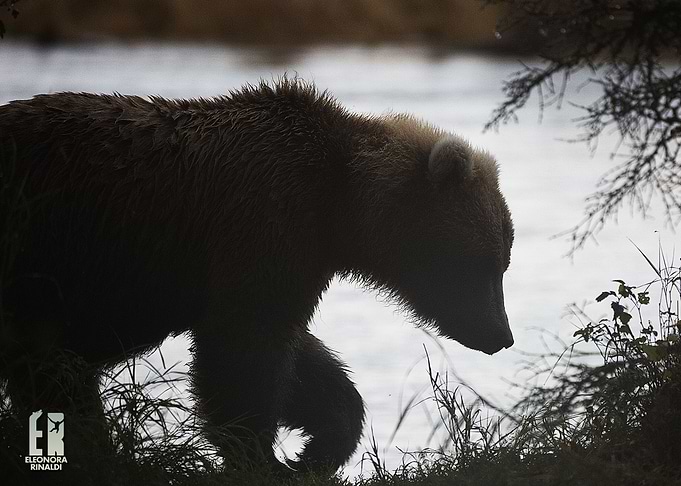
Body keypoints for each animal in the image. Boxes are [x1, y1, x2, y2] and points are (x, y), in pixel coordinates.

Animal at [0, 79, 514, 474]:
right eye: (484, 263)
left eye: (502, 260)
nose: (501, 335)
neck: (340, 208)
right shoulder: (263, 217)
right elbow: (244, 351)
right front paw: (262, 460)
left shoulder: (286, 256)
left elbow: (293, 357)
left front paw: (315, 449)